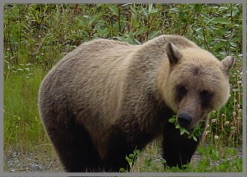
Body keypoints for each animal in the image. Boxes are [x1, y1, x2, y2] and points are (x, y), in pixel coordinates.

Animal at [37, 34, 234, 171]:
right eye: (182, 87)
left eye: (205, 92)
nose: (185, 118)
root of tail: (56, 66)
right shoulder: (137, 107)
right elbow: (122, 147)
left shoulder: (184, 122)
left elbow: (179, 148)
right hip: (69, 110)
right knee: (76, 152)